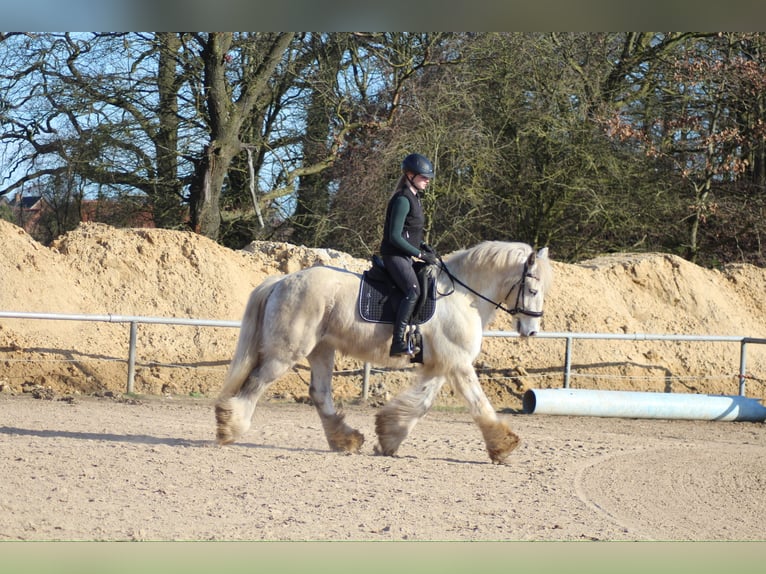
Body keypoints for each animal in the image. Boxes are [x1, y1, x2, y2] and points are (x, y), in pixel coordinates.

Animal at [214, 241, 553, 464]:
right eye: (533, 290)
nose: (531, 332)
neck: (462, 295)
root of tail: (282, 280)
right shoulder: (458, 364)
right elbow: (478, 403)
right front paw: (503, 446)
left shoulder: (442, 364)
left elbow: (422, 403)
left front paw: (390, 435)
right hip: (286, 352)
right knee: (256, 383)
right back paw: (230, 428)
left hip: (322, 349)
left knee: (319, 393)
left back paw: (346, 439)